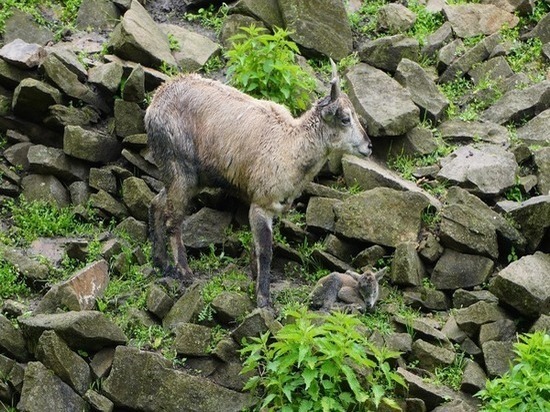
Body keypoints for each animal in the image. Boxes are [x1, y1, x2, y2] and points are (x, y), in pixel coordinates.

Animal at [144, 60, 374, 306]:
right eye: (345, 119)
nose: (369, 146)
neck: (289, 146)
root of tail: (155, 103)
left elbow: (255, 249)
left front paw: (256, 282)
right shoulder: (261, 204)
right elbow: (265, 250)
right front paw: (264, 299)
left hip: (187, 177)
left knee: (156, 204)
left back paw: (161, 263)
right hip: (180, 168)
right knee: (172, 220)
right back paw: (183, 271)